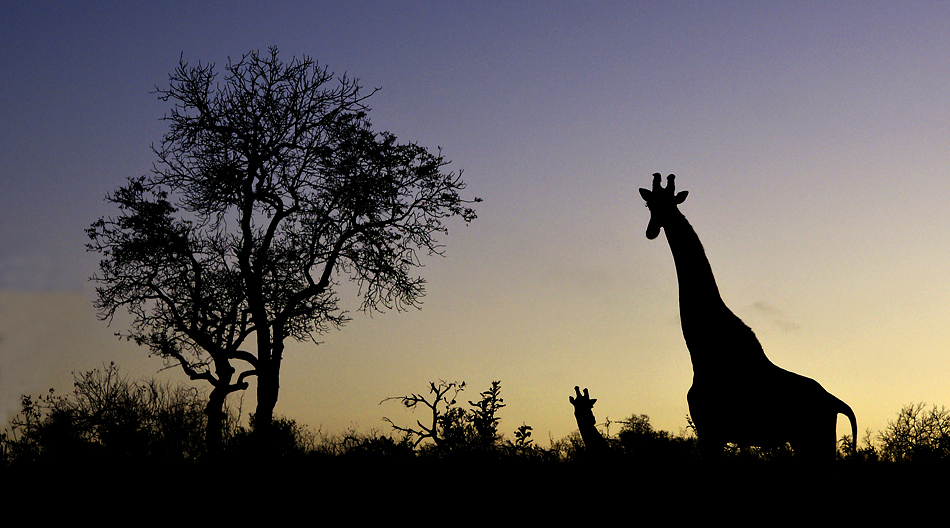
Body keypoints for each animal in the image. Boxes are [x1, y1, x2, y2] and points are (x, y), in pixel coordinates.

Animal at [644, 174, 860, 462]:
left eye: (669, 204)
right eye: (649, 205)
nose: (651, 231)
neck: (701, 353)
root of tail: (835, 402)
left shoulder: (710, 430)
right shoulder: (713, 432)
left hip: (814, 439)